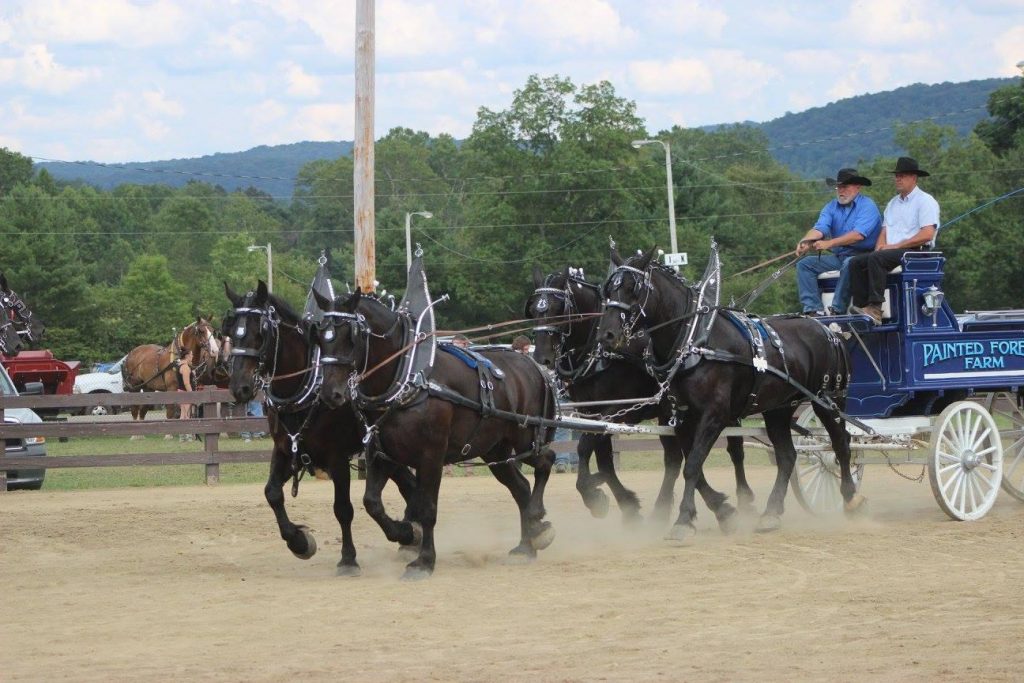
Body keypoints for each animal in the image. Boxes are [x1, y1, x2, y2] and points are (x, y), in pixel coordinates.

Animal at [222, 280, 419, 576]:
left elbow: (343, 509)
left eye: (261, 332)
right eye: (231, 331)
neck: (306, 386)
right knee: (409, 485)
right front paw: (299, 542)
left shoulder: (336, 458)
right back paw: (412, 536)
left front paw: (348, 558)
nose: (239, 387)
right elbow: (272, 493)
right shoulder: (286, 450)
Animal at [314, 287, 558, 580]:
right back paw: (526, 546)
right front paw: (406, 533)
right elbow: (372, 502)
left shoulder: (431, 456)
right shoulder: (381, 454)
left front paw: (424, 561)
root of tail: (535, 367)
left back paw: (536, 518)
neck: (407, 378)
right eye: (319, 335)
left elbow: (427, 508)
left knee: (546, 461)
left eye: (350, 335)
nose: (331, 393)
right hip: (494, 450)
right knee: (520, 487)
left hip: (525, 438)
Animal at [526, 265, 756, 523]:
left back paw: (743, 500)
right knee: (676, 458)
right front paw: (627, 505)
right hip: (671, 413)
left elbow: (585, 448)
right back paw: (673, 508)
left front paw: (594, 496)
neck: (600, 353)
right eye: (533, 310)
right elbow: (604, 461)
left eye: (559, 309)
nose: (541, 358)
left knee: (733, 450)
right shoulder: (591, 413)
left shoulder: (618, 410)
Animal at [597, 246, 861, 540]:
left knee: (841, 444)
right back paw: (771, 513)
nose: (606, 335)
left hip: (829, 400)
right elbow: (694, 466)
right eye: (608, 289)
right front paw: (720, 512)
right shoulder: (683, 417)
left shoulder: (715, 414)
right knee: (787, 456)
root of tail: (829, 330)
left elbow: (692, 465)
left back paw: (851, 498)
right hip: (778, 409)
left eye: (633, 288)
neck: (695, 341)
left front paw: (683, 521)